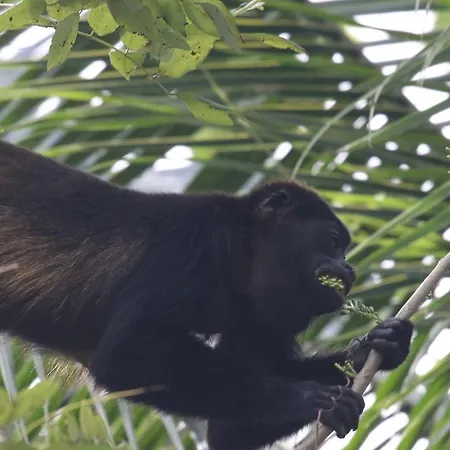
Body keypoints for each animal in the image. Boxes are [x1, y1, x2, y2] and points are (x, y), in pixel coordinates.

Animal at [0, 140, 413, 450]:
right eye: (332, 241)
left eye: (344, 249)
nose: (350, 269)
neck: (242, 258)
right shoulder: (193, 243)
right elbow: (126, 354)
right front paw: (302, 398)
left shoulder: (263, 315)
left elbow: (228, 431)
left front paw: (379, 346)